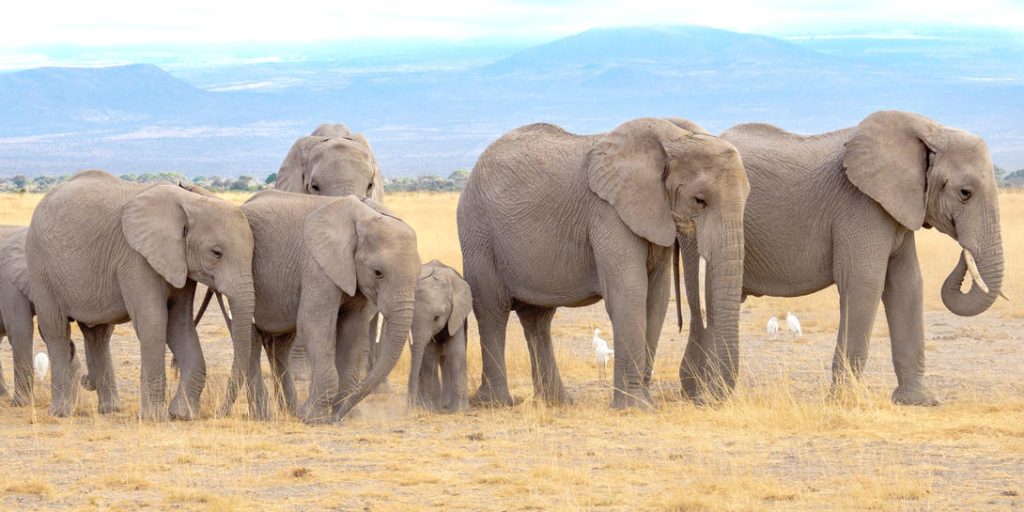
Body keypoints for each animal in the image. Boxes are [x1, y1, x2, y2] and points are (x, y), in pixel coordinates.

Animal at [26, 170, 256, 420]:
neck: (189, 201)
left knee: (98, 335)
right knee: (56, 330)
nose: (221, 412)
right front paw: (155, 417)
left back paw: (109, 410)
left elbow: (180, 324)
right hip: (41, 269)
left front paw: (183, 414)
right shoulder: (135, 258)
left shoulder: (177, 263)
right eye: (216, 253)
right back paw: (61, 412)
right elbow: (153, 322)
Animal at [224, 191, 419, 423]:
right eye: (378, 273)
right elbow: (313, 323)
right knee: (251, 339)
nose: (337, 418)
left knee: (280, 345)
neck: (364, 217)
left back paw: (290, 411)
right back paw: (265, 416)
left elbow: (353, 328)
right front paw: (313, 416)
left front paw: (341, 413)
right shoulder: (317, 265)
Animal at [407, 260, 472, 413]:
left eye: (437, 317)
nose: (408, 408)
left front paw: (460, 410)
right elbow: (429, 356)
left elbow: (456, 353)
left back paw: (445, 404)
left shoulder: (457, 313)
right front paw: (432, 409)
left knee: (444, 357)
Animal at [458, 118, 749, 409]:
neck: (673, 139)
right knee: (492, 310)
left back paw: (558, 402)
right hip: (478, 233)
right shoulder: (609, 212)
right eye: (700, 200)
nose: (704, 399)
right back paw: (495, 402)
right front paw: (635, 407)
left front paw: (645, 402)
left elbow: (656, 299)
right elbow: (630, 292)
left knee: (537, 319)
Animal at [681, 110, 1005, 406]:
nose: (964, 252)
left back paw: (698, 393)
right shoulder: (860, 206)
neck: (928, 128)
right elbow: (865, 284)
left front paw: (919, 401)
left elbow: (907, 285)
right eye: (965, 193)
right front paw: (843, 401)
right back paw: (701, 395)